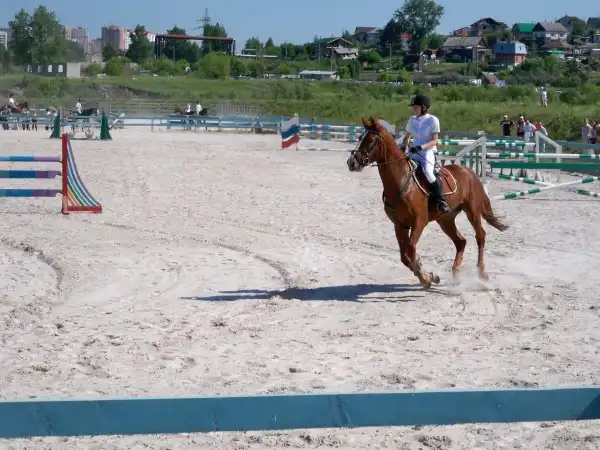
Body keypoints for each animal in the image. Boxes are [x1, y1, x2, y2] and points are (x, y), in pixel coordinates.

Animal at [346, 116, 509, 290]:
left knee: (480, 236)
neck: (401, 181)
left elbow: (410, 250)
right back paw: (456, 273)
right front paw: (429, 276)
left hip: (472, 211)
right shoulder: (399, 224)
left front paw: (426, 277)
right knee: (461, 242)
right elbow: (405, 256)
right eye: (359, 138)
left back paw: (482, 273)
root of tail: (469, 172)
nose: (351, 163)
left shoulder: (420, 221)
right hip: (445, 219)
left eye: (370, 140)